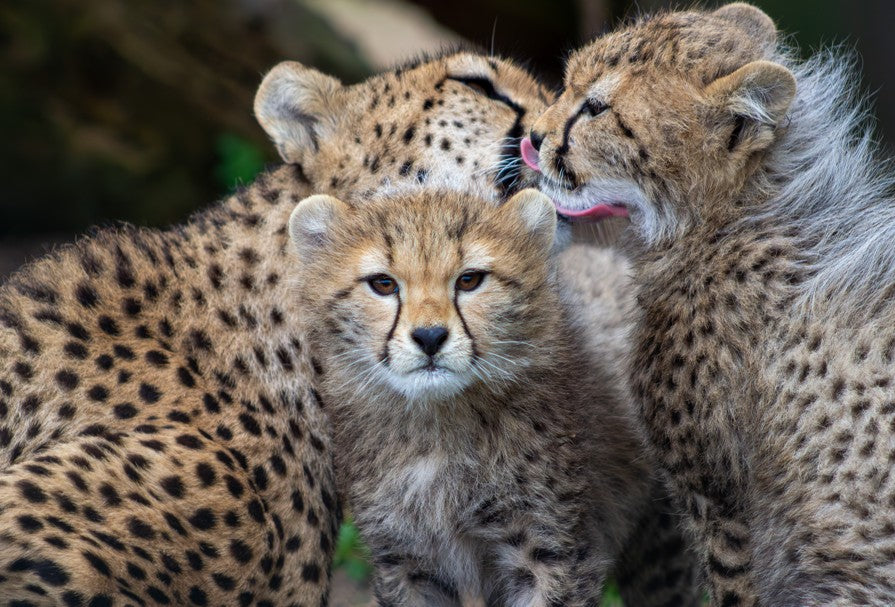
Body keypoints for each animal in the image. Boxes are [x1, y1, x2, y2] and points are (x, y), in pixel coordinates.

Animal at [288, 187, 696, 606]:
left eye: (470, 280)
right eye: (383, 284)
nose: (430, 337)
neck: (436, 429)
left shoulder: (550, 552)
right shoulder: (406, 562)